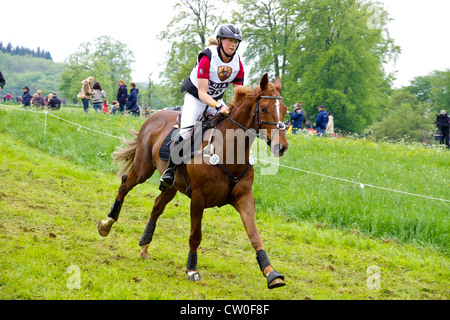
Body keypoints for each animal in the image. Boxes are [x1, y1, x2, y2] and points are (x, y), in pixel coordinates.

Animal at [97, 74, 288, 288]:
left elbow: (255, 235)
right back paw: (106, 224)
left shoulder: (244, 198)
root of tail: (152, 117)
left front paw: (271, 273)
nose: (281, 147)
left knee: (156, 207)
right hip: (142, 169)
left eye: (284, 109)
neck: (229, 150)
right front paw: (191, 269)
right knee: (125, 184)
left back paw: (144, 245)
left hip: (171, 185)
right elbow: (196, 235)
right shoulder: (198, 198)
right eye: (263, 108)